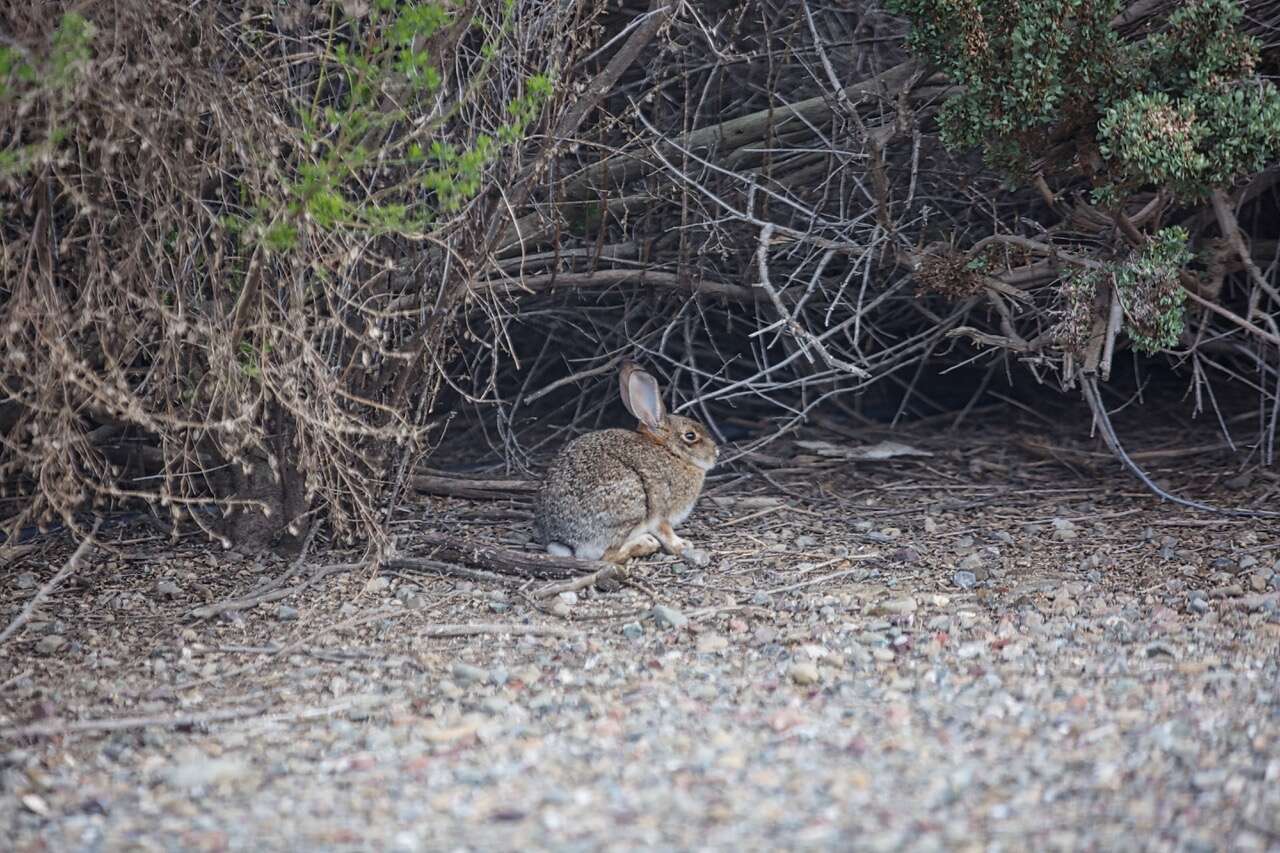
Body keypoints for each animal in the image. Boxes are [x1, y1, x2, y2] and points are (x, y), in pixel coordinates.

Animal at [532, 358, 721, 563]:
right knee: (607, 555)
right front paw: (682, 544)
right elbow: (665, 531)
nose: (716, 452)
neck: (671, 452)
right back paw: (646, 543)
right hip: (632, 503)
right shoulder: (661, 510)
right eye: (690, 436)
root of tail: (564, 542)